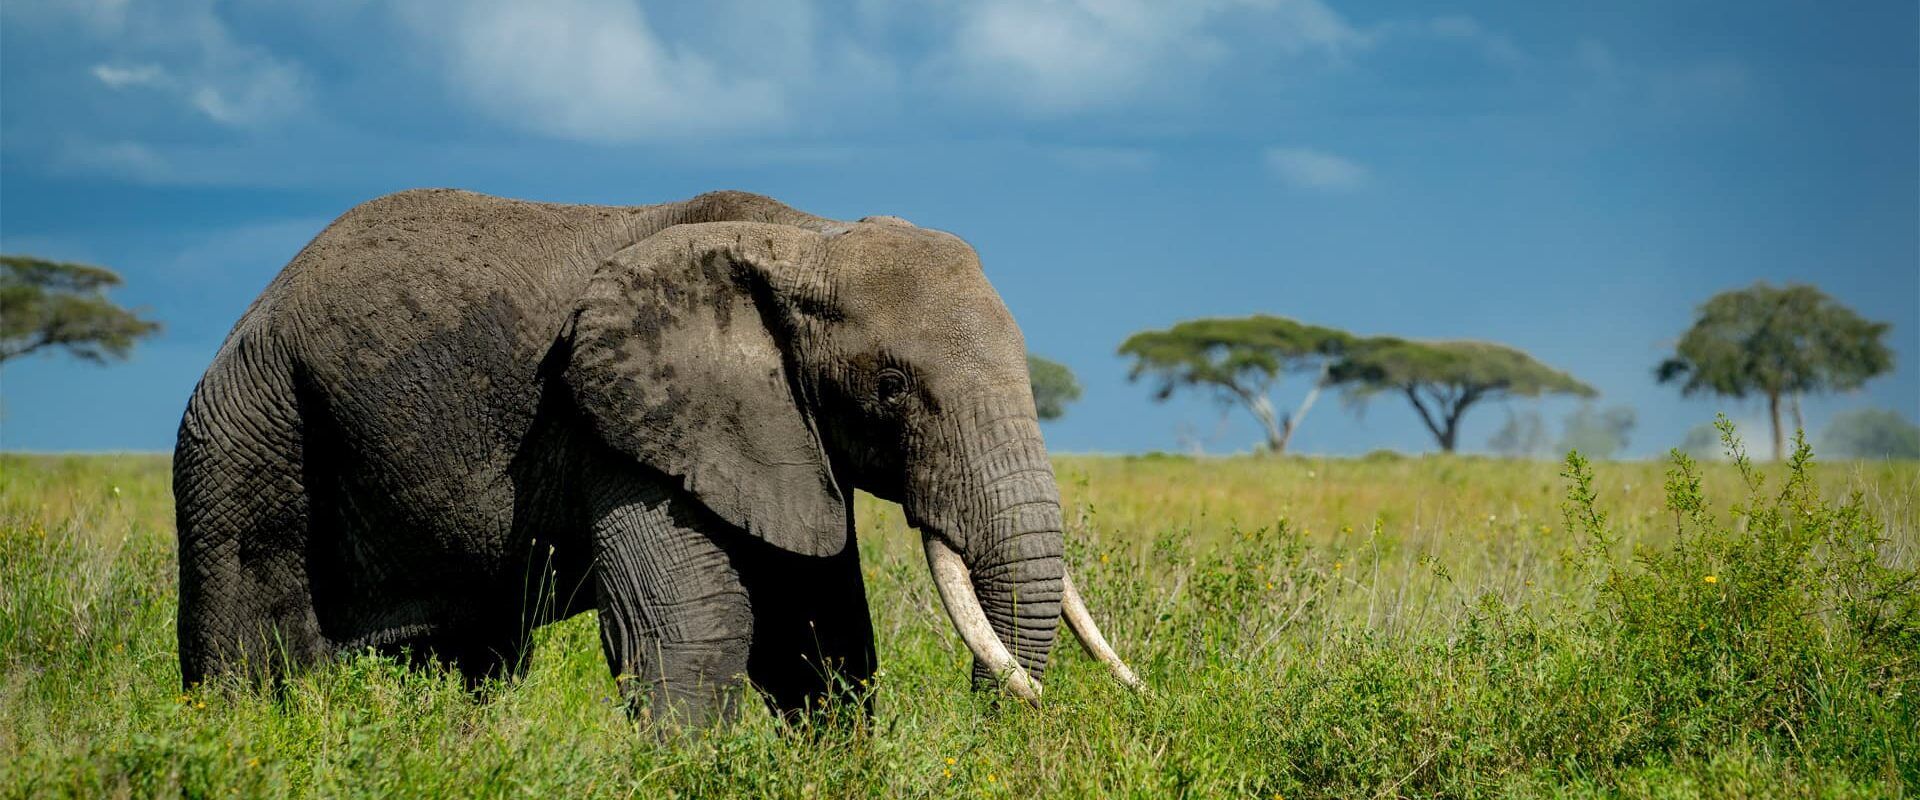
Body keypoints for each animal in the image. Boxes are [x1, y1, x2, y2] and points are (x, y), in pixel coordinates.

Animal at [172, 188, 1136, 721]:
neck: (802, 238)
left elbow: (818, 635)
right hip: (245, 422)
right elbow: (698, 625)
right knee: (245, 636)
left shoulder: (778, 435)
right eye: (893, 386)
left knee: (477, 656)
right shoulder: (621, 419)